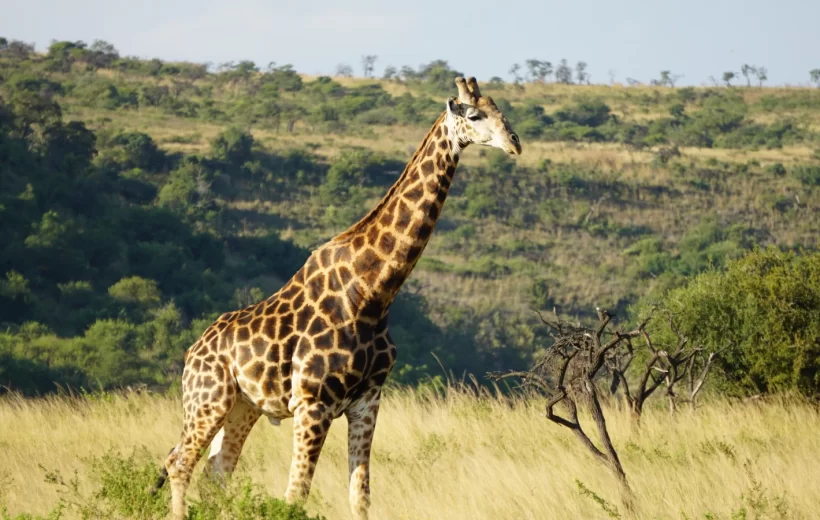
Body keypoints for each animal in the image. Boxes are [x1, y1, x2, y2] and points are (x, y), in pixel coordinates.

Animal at [157, 75, 524, 516]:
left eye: (500, 111)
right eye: (473, 114)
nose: (515, 143)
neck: (373, 293)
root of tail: (192, 351)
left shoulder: (368, 400)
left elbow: (360, 494)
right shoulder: (312, 403)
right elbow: (295, 496)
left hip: (243, 407)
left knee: (218, 472)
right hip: (207, 399)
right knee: (179, 463)